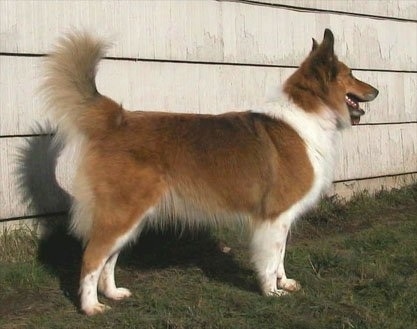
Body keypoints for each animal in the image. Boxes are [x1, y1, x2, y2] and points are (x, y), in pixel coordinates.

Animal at [41, 27, 376, 312]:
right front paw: (271, 292)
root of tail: (117, 120)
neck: (308, 113)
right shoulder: (274, 215)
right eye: (351, 74)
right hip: (121, 212)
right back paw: (91, 307)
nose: (376, 91)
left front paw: (284, 283)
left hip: (132, 214)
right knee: (92, 257)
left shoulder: (282, 218)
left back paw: (112, 293)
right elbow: (270, 259)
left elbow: (280, 255)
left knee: (109, 259)